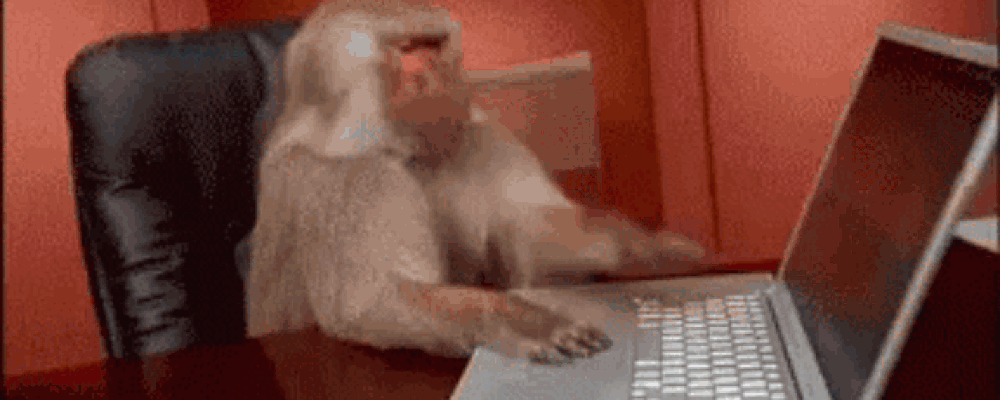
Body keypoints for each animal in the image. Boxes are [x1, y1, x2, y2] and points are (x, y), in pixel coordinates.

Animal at [244, 0, 707, 366]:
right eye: (409, 53)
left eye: (435, 48)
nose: (446, 85)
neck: (397, 149)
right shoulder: (350, 181)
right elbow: (372, 303)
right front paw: (522, 320)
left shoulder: (477, 137)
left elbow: (524, 244)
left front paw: (627, 241)